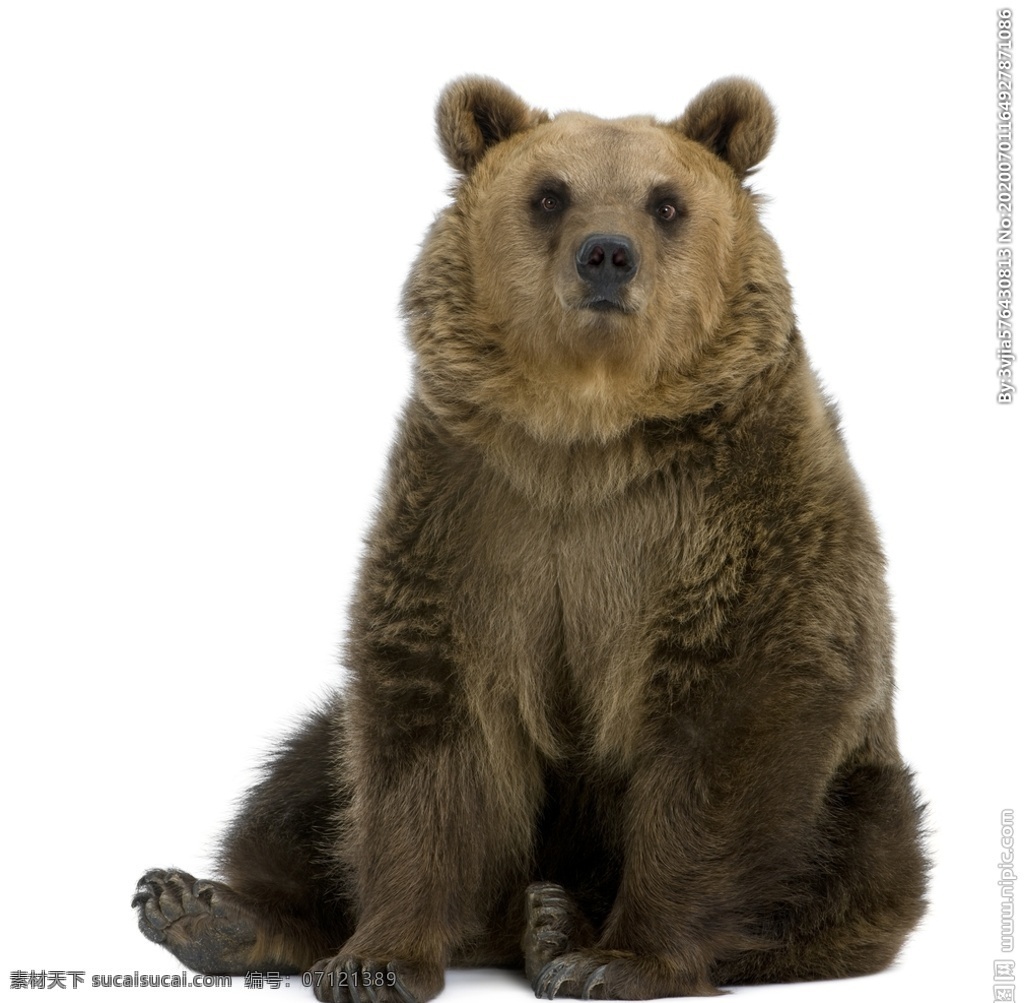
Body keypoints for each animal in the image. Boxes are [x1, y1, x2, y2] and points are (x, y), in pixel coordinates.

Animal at [133, 76, 928, 1002]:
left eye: (666, 202)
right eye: (549, 195)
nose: (607, 254)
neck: (584, 432)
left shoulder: (736, 510)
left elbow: (730, 719)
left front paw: (618, 958)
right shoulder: (473, 512)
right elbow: (428, 729)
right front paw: (374, 958)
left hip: (861, 790)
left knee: (854, 854)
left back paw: (558, 923)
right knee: (308, 771)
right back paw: (207, 910)